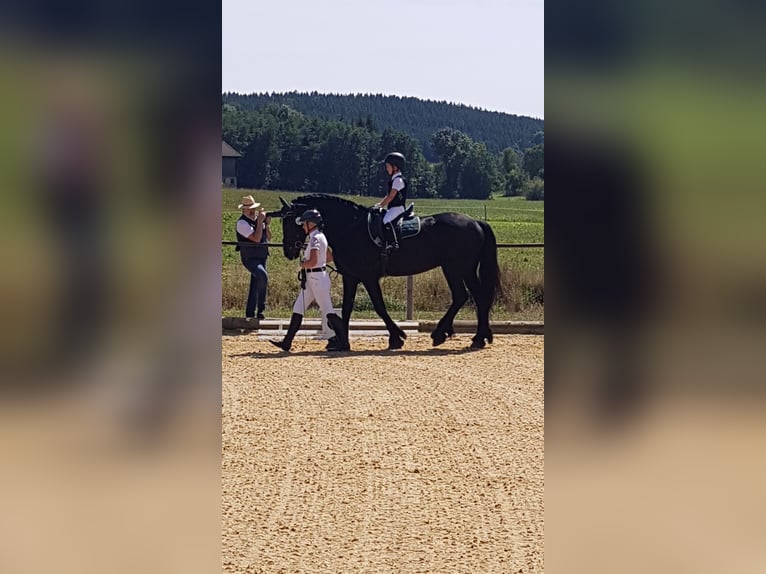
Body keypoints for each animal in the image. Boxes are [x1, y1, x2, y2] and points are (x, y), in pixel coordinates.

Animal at [269, 194, 501, 350]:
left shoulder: (368, 277)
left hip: (456, 268)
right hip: (460, 269)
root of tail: (475, 222)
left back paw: (449, 335)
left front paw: (396, 337)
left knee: (466, 296)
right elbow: (347, 308)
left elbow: (379, 307)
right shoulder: (351, 277)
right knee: (473, 297)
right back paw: (476, 337)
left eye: (291, 221)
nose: (288, 251)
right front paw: (339, 341)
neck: (350, 228)